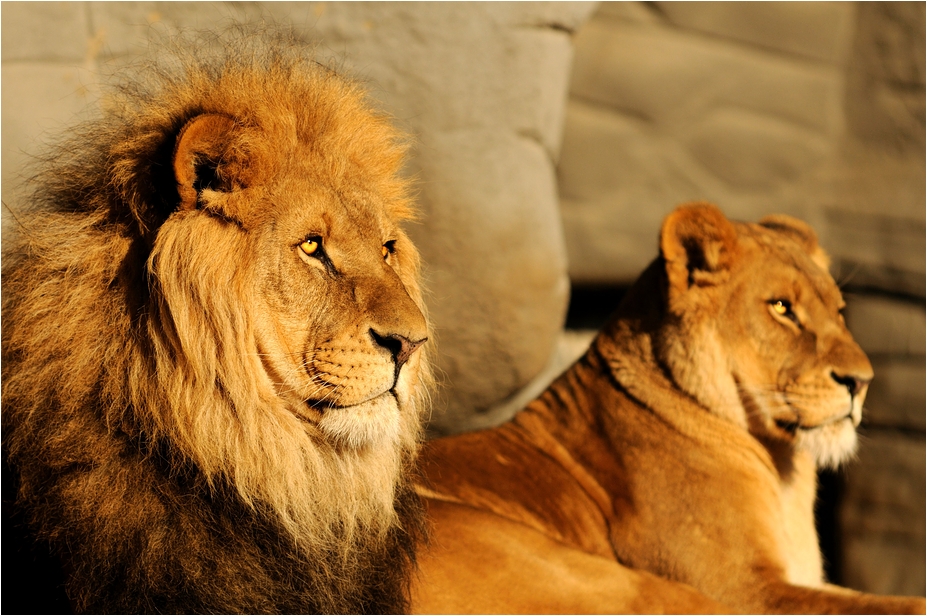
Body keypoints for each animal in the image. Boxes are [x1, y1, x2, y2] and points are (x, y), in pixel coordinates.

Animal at [410, 203, 925, 614]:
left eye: (838, 311)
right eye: (781, 307)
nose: (862, 381)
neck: (784, 471)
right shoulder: (745, 588)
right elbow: (892, 604)